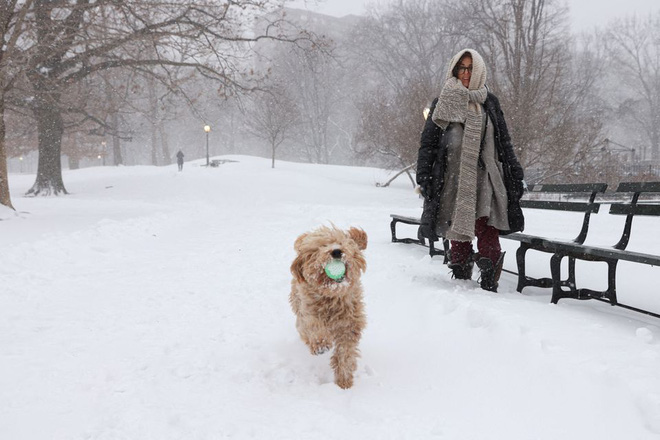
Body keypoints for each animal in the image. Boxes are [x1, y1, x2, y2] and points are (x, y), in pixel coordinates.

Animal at [290, 227, 368, 388]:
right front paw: (321, 344)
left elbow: (345, 352)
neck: (332, 296)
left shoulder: (350, 325)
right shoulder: (307, 311)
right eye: (320, 247)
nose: (336, 251)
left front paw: (344, 381)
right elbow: (313, 325)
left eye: (341, 242)